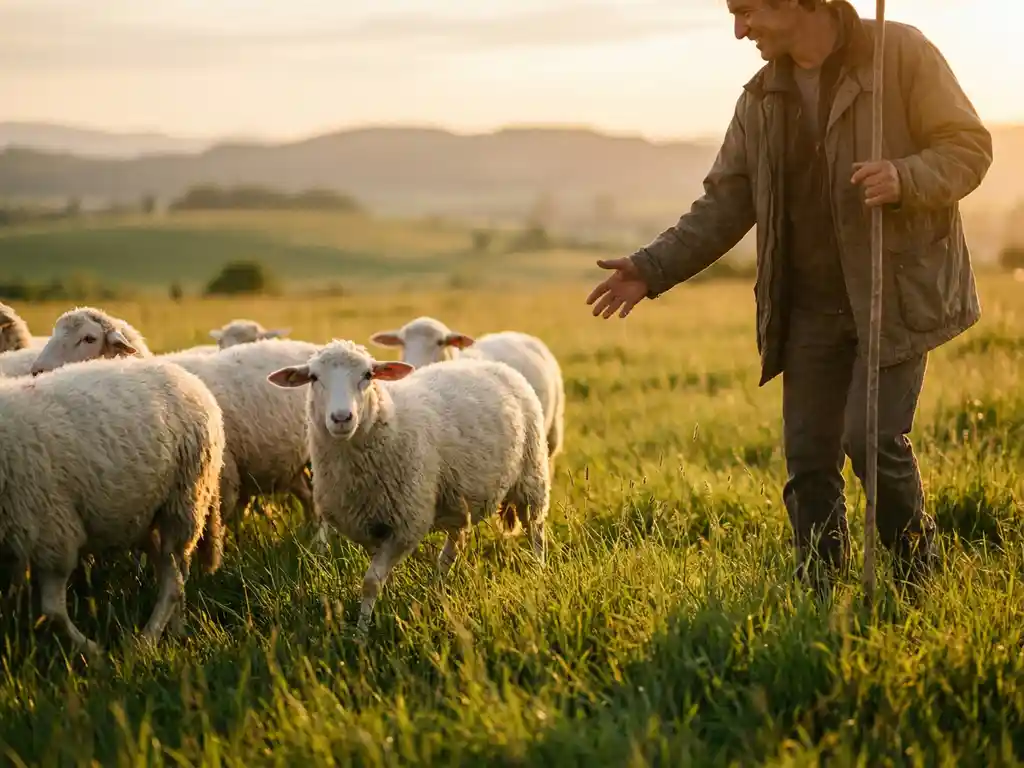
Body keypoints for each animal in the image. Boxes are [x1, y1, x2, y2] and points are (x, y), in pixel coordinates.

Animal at [0, 355, 226, 659]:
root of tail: (191, 379)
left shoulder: (52, 532)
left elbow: (52, 611)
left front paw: (95, 653)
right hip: (148, 516)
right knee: (176, 572)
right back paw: (176, 631)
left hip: (183, 501)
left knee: (173, 582)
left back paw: (145, 641)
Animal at [268, 339, 550, 636]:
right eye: (313, 377)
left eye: (368, 375)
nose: (342, 418)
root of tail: (498, 366)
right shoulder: (368, 526)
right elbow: (378, 577)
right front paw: (383, 605)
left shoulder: (406, 525)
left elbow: (370, 582)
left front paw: (361, 634)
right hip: (458, 498)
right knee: (455, 544)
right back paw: (437, 586)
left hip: (532, 476)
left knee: (536, 531)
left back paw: (538, 573)